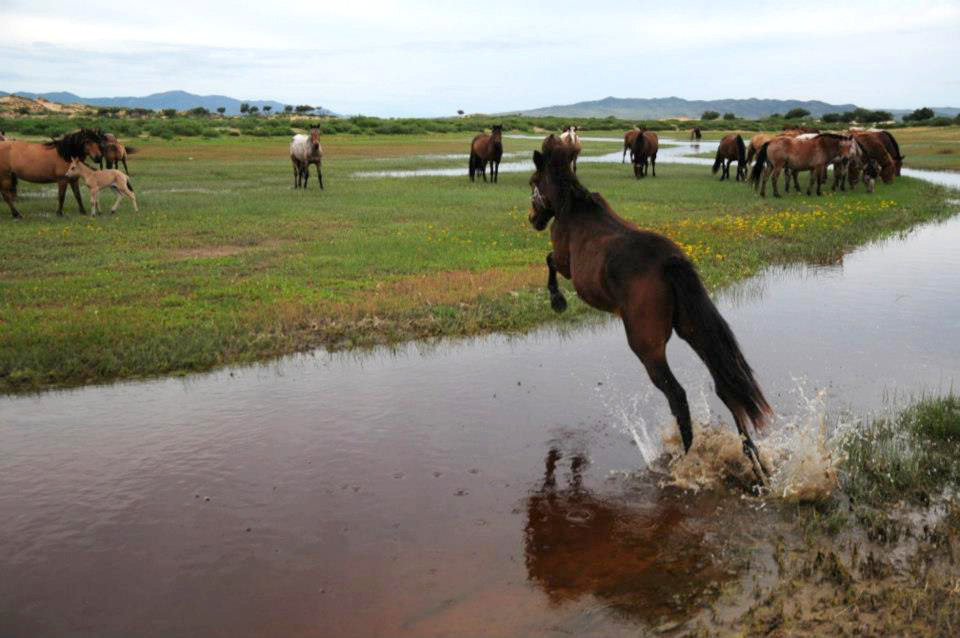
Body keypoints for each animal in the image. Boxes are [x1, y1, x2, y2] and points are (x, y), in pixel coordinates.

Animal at [532, 136, 772, 484]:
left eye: (533, 183)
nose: (533, 220)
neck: (573, 208)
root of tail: (670, 262)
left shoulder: (565, 264)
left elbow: (549, 261)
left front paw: (557, 301)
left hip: (648, 348)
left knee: (677, 395)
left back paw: (686, 460)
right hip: (694, 332)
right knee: (726, 389)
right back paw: (754, 465)